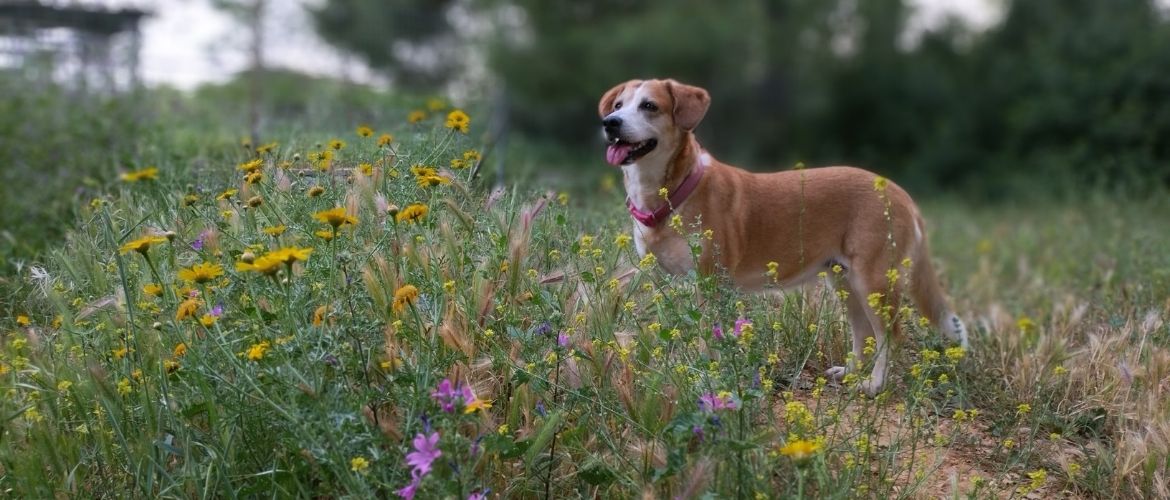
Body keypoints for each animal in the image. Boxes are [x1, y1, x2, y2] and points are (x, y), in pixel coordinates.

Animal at [599, 78, 964, 398]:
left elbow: (708, 340)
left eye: (649, 106)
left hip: (873, 280)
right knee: (862, 332)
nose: (610, 123)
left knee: (891, 335)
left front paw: (706, 379)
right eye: (618, 105)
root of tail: (900, 193)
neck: (675, 189)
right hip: (844, 280)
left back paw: (874, 385)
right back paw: (849, 373)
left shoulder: (709, 282)